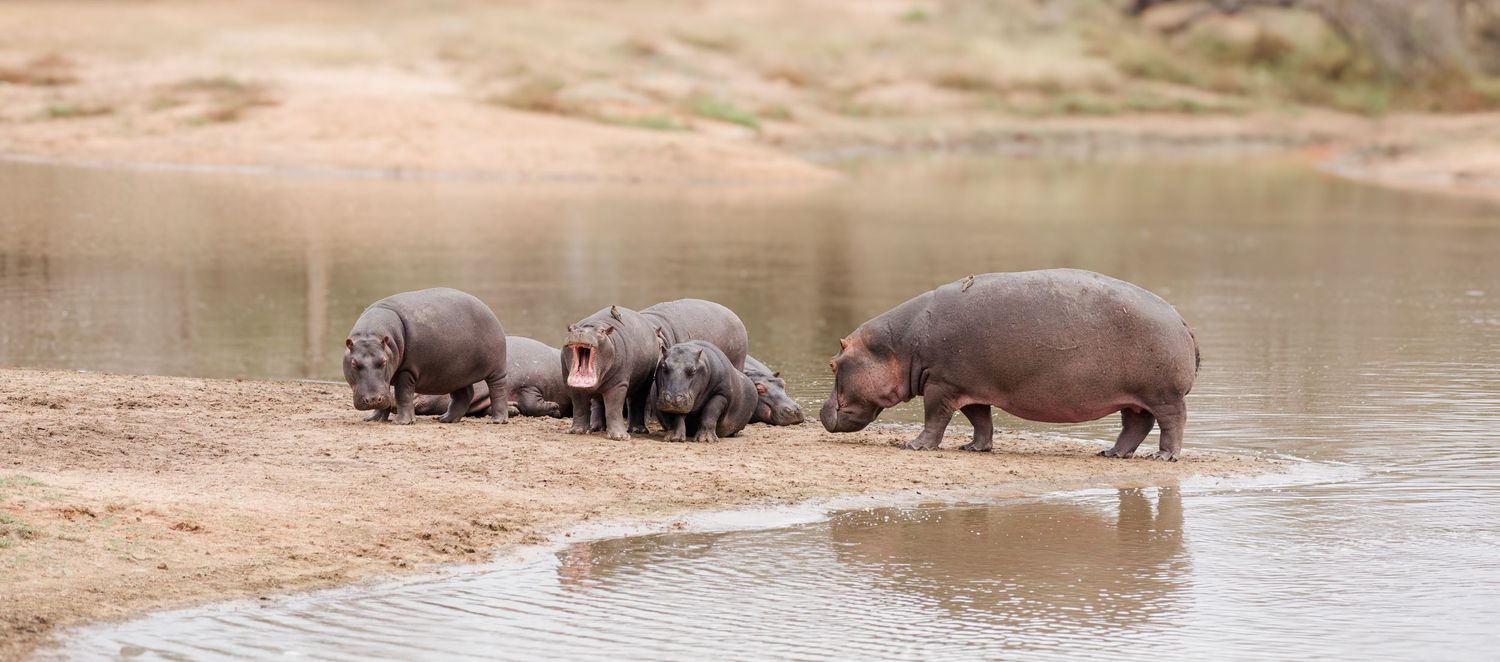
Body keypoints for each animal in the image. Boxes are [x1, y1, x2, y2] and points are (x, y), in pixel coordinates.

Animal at [344, 288, 508, 425]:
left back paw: (498, 420)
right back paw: (445, 419)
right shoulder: (386, 379)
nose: (372, 400)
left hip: (496, 369)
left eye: (384, 361)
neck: (370, 335)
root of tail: (487, 308)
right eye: (353, 363)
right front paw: (372, 419)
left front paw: (403, 422)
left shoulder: (406, 370)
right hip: (456, 373)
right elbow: (387, 396)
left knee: (498, 390)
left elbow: (402, 395)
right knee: (464, 395)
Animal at [563, 305, 660, 440]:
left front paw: (620, 437)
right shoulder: (572, 386)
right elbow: (579, 406)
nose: (580, 332)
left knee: (637, 402)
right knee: (599, 403)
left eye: (602, 331)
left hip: (644, 383)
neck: (593, 324)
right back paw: (597, 428)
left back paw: (638, 430)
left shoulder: (618, 384)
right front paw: (577, 431)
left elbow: (614, 408)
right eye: (570, 329)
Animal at [820, 270, 1199, 461]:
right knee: (1136, 425)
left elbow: (935, 419)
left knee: (1172, 423)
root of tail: (1180, 318)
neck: (897, 345)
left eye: (832, 364)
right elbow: (980, 420)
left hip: (1164, 395)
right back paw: (1111, 453)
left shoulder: (941, 384)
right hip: (1135, 398)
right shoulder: (969, 386)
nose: (821, 412)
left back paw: (1163, 457)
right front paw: (974, 448)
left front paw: (914, 446)